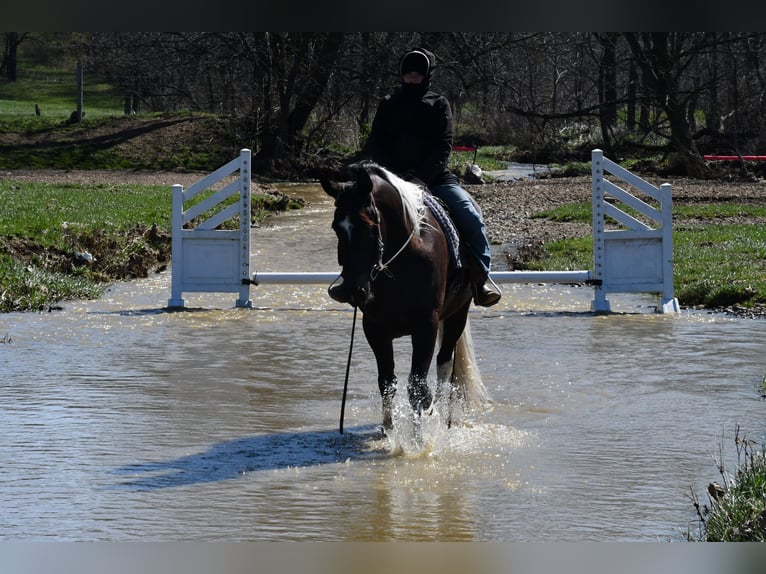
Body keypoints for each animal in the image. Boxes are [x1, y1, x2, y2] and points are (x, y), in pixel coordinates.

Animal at [320, 160, 490, 432]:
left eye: (369, 226)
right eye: (337, 228)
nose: (351, 291)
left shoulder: (426, 326)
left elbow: (417, 388)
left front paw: (422, 437)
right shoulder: (374, 328)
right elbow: (387, 382)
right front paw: (388, 430)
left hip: (458, 314)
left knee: (445, 364)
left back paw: (442, 419)